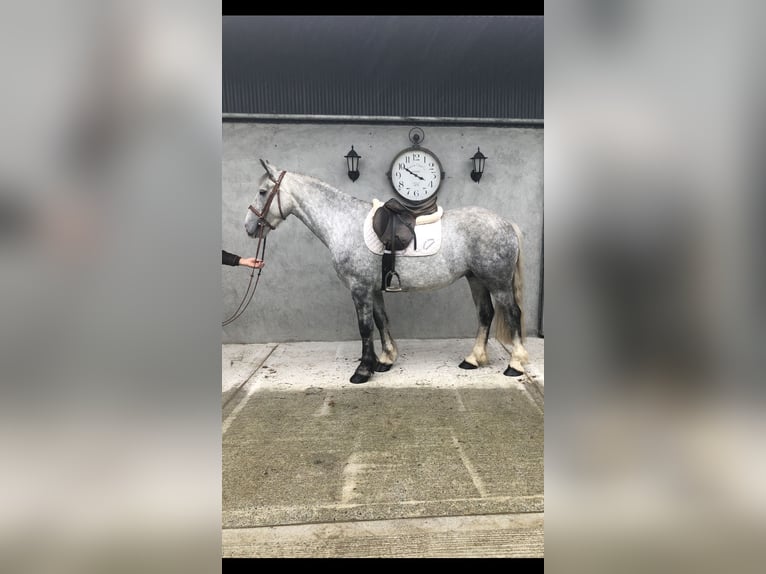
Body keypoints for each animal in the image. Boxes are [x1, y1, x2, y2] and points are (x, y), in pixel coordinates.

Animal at [246, 160, 528, 384]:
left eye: (262, 191)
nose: (249, 227)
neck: (343, 221)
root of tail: (507, 224)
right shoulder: (373, 289)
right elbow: (381, 320)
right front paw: (386, 360)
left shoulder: (359, 288)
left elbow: (365, 327)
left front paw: (362, 371)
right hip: (476, 279)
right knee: (485, 314)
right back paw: (473, 359)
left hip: (498, 282)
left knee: (513, 314)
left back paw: (515, 365)